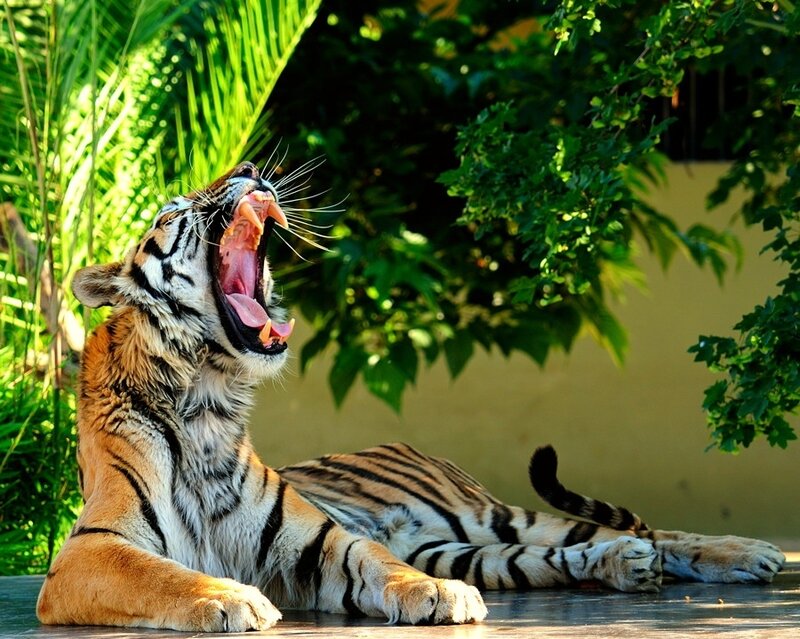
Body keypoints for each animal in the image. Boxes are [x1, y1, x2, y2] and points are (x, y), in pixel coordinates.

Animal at [36, 161, 785, 632]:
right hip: (471, 543)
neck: (210, 397)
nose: (250, 168)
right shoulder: (91, 548)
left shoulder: (316, 538)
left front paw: (439, 598)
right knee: (575, 554)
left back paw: (746, 553)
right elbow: (164, 574)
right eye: (175, 213)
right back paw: (627, 566)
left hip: (488, 514)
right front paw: (232, 599)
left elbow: (373, 557)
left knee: (645, 531)